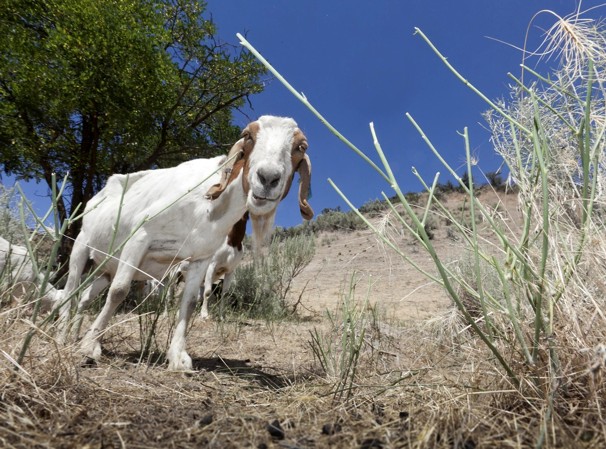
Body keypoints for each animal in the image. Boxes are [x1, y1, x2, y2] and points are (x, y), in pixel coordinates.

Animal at [59, 116, 316, 372]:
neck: (206, 208)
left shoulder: (201, 259)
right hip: (81, 247)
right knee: (70, 292)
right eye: (248, 136)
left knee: (84, 298)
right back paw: (62, 336)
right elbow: (119, 291)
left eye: (300, 147)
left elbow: (191, 301)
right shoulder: (140, 237)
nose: (268, 178)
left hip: (104, 269)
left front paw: (178, 357)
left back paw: (75, 335)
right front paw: (91, 346)